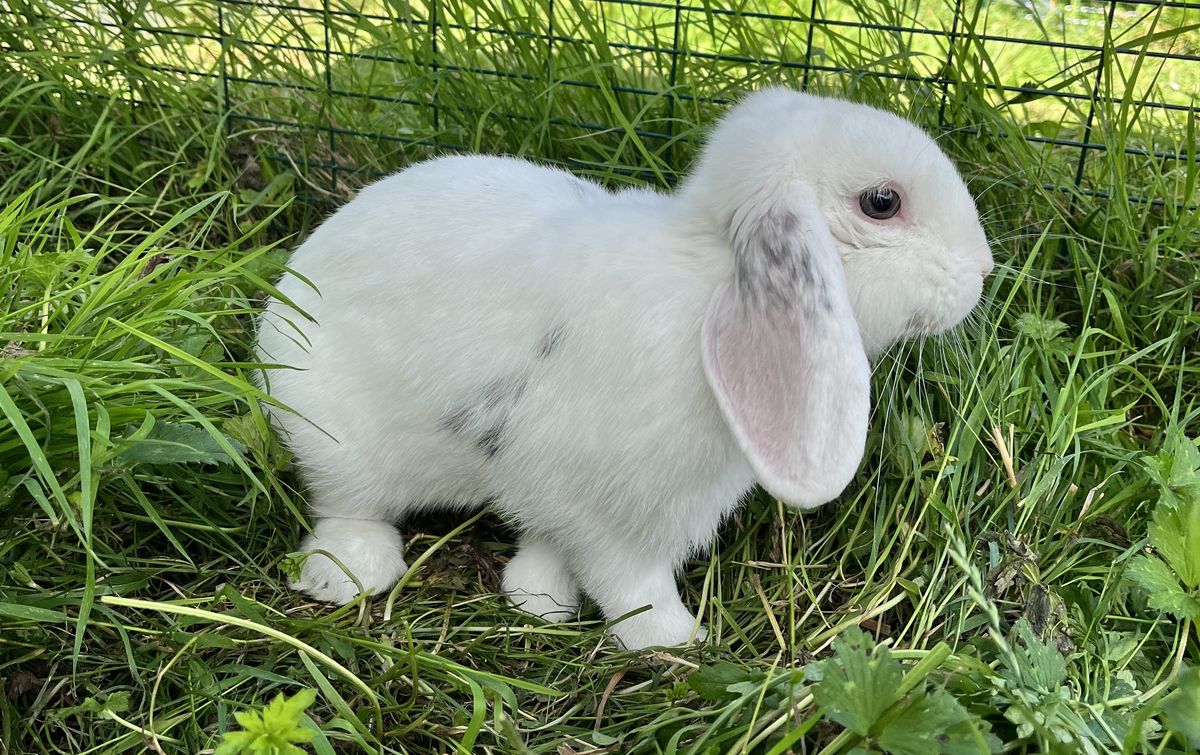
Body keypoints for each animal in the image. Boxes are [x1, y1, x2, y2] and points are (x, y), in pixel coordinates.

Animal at [255, 87, 994, 650]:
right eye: (881, 202)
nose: (984, 269)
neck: (710, 282)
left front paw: (538, 594)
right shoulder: (617, 512)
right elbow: (629, 582)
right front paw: (675, 641)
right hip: (331, 435)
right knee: (345, 503)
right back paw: (350, 573)